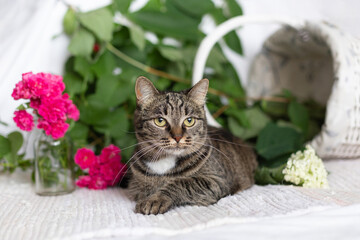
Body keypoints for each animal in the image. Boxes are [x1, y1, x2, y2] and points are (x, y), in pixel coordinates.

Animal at [128, 76, 258, 215]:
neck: (165, 161)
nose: (177, 137)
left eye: (189, 121)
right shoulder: (134, 186)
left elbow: (183, 182)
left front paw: (155, 199)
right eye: (160, 121)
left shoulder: (218, 181)